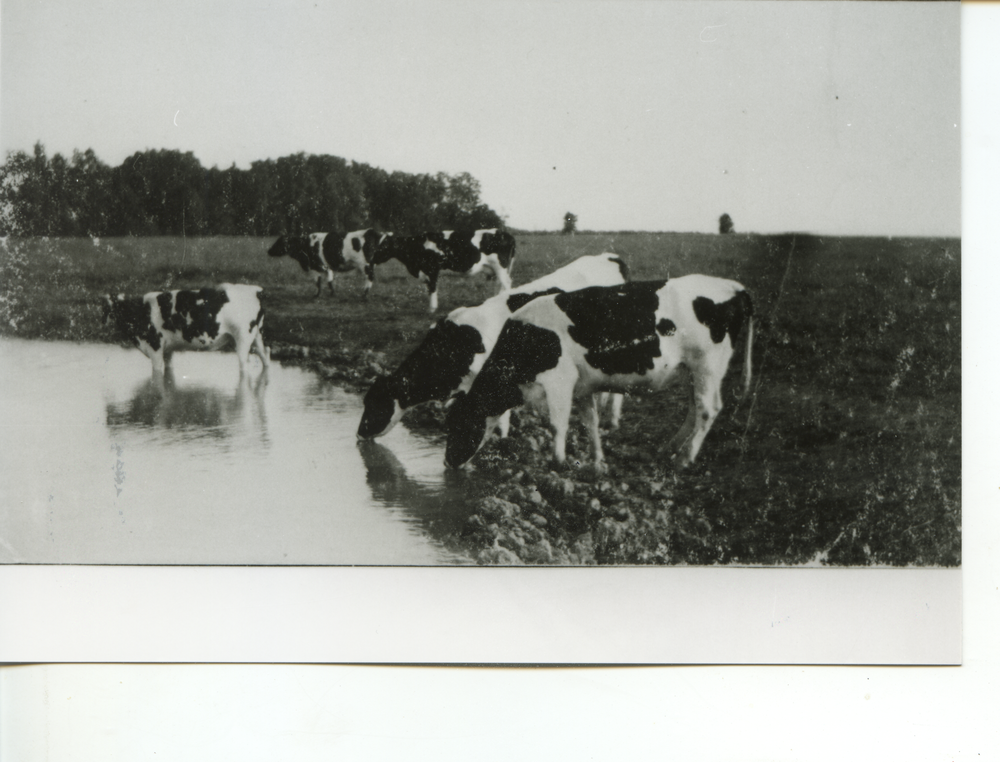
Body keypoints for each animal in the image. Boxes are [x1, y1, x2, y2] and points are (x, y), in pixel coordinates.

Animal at [100, 282, 270, 374]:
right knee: (266, 357)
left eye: (109, 308)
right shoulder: (167, 351)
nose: (103, 322)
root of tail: (255, 290)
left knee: (244, 364)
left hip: (243, 338)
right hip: (257, 337)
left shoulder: (155, 348)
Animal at [374, 227, 516, 310]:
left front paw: (432, 309)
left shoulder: (432, 270)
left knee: (507, 283)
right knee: (501, 284)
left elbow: (432, 289)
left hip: (500, 266)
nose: (373, 258)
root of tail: (505, 233)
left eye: (384, 245)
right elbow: (429, 289)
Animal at [442, 276, 752, 472]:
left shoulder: (559, 381)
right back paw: (669, 449)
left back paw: (683, 459)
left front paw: (557, 463)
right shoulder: (582, 386)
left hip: (708, 366)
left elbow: (557, 424)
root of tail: (733, 286)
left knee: (707, 410)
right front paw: (596, 460)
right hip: (691, 371)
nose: (447, 463)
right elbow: (589, 422)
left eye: (460, 423)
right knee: (694, 408)